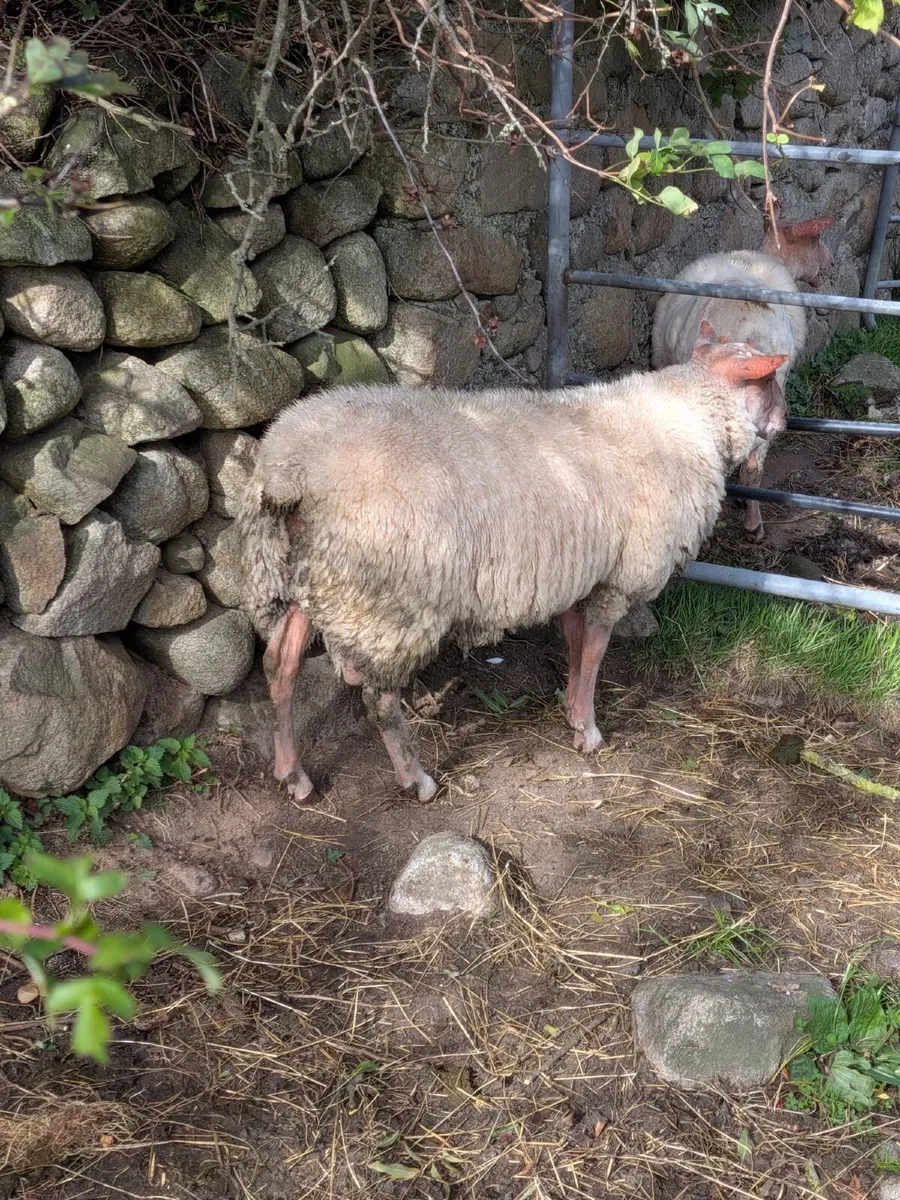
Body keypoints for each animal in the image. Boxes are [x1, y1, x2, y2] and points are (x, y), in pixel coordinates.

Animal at [237, 323, 787, 805]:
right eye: (769, 380)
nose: (785, 420)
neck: (688, 421)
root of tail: (292, 470)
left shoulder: (577, 572)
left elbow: (573, 642)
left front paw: (569, 706)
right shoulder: (618, 578)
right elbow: (595, 652)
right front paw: (587, 727)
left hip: (300, 577)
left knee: (280, 666)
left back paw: (293, 776)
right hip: (386, 603)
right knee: (379, 699)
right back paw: (415, 779)